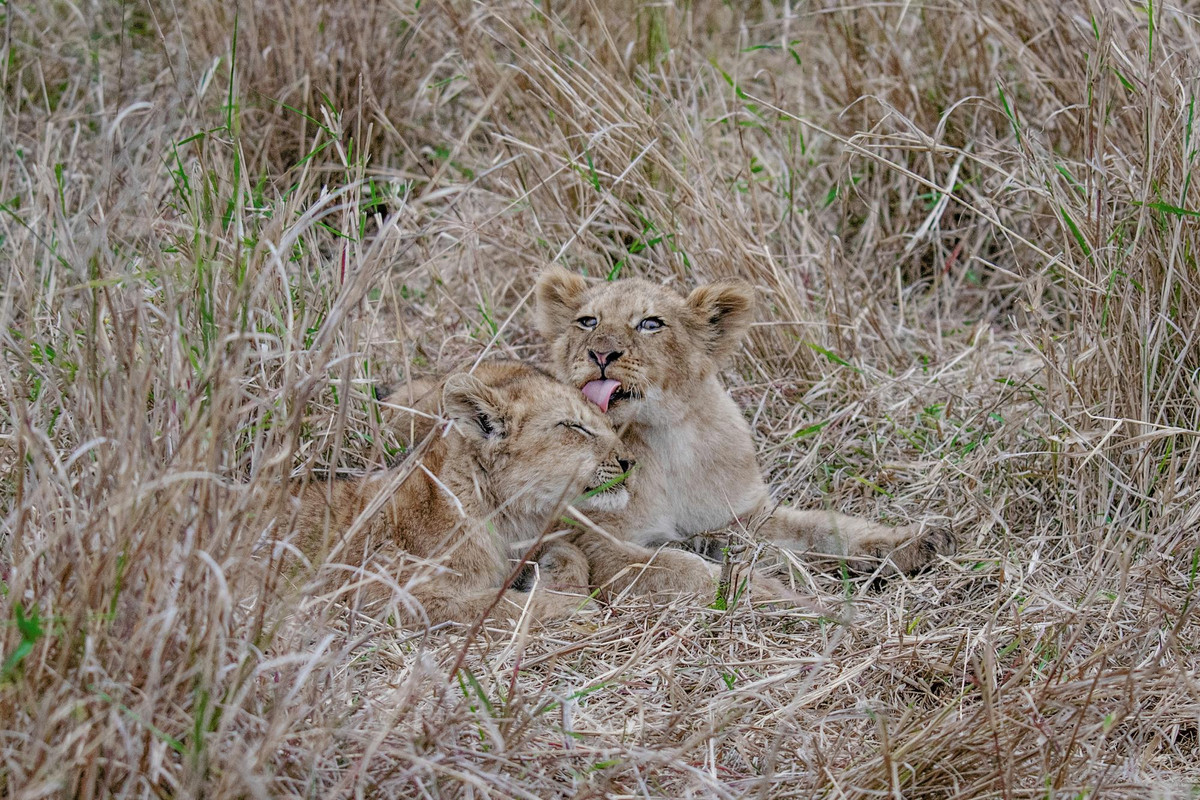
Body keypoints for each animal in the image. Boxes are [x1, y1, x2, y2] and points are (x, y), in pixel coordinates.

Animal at [291, 360, 633, 626]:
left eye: (607, 423)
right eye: (574, 426)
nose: (630, 461)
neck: (508, 516)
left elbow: (572, 551)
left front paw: (555, 571)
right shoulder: (386, 596)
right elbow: (497, 607)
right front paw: (574, 605)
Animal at [534, 266, 956, 596]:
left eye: (650, 324)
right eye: (588, 321)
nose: (601, 353)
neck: (665, 438)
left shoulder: (742, 516)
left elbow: (825, 527)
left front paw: (917, 541)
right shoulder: (596, 542)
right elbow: (678, 569)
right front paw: (776, 594)